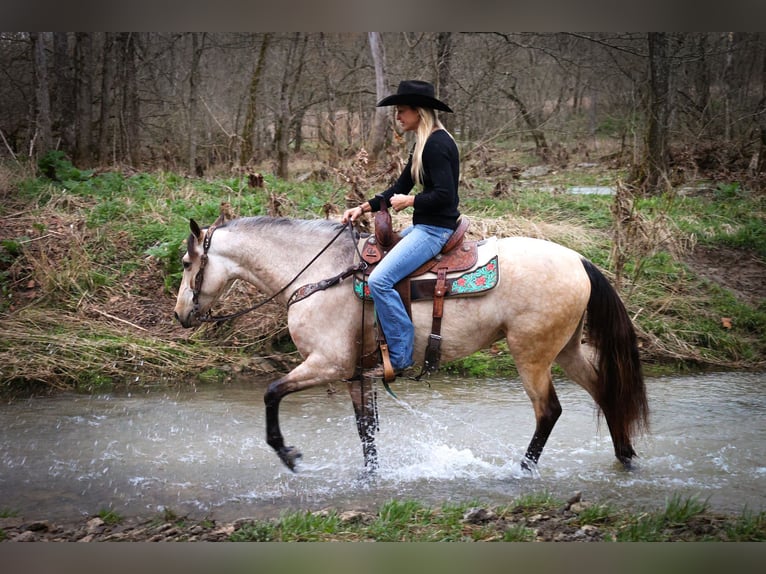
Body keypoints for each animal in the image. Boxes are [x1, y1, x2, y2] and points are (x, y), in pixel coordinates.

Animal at [172, 214, 648, 474]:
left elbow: (271, 393)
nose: (180, 314)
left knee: (548, 411)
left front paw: (287, 453)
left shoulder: (327, 363)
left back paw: (522, 470)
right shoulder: (354, 373)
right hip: (565, 351)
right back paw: (625, 457)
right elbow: (365, 430)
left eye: (186, 263)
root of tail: (579, 260)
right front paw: (369, 477)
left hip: (531, 356)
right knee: (606, 392)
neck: (317, 273)